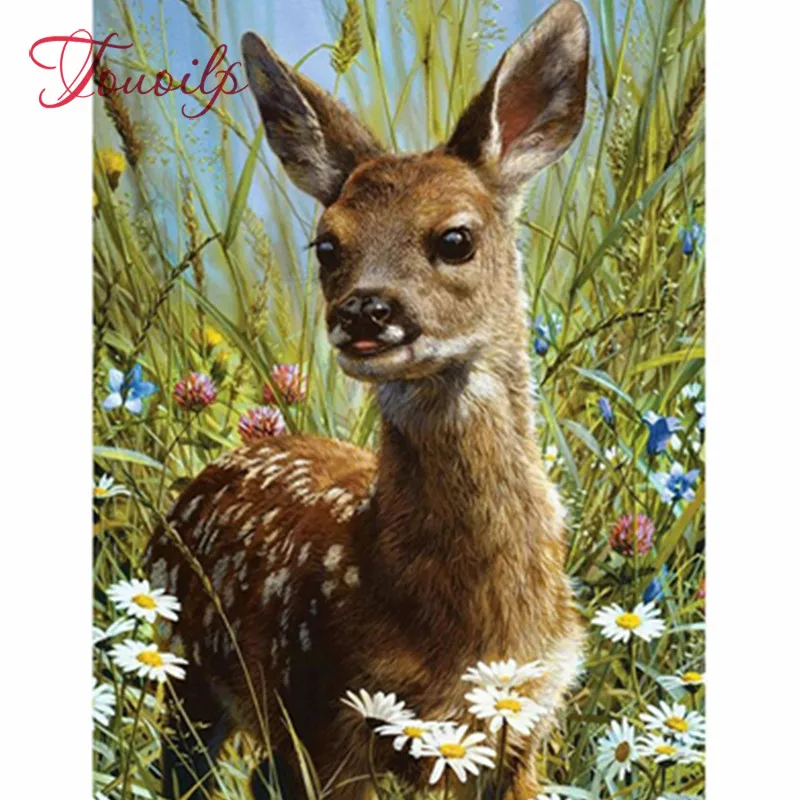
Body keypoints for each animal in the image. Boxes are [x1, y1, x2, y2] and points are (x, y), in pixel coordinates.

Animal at [150, 1, 589, 797]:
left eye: (456, 238)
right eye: (326, 245)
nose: (363, 311)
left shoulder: (529, 722)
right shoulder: (325, 710)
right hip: (191, 669)